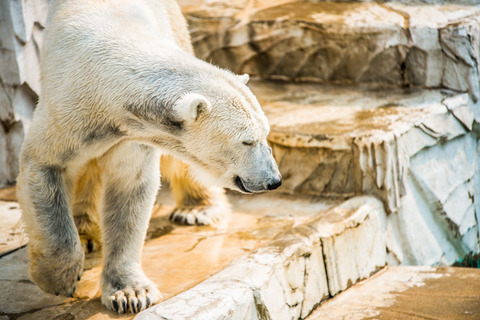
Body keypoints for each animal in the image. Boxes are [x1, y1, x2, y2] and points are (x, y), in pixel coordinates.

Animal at [16, 0, 282, 316]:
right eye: (247, 140)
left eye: (266, 133)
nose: (273, 180)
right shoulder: (69, 111)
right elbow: (45, 164)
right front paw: (58, 279)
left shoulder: (131, 134)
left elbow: (130, 188)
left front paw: (130, 293)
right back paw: (84, 231)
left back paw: (197, 209)